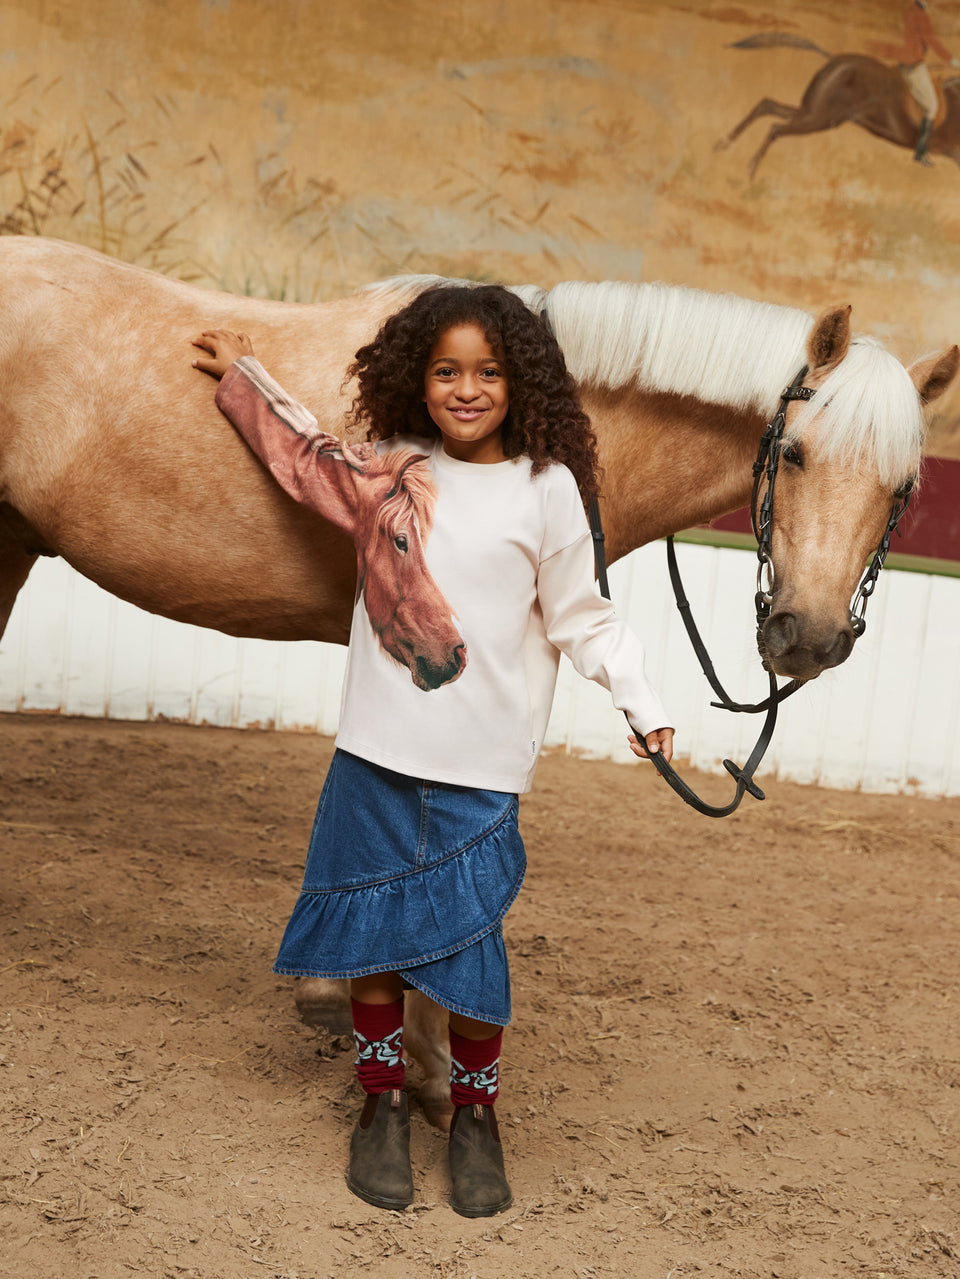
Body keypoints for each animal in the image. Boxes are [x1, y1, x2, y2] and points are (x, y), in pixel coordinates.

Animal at [715, 36, 960, 179]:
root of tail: (834, 60)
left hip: (815, 113)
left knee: (767, 106)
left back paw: (725, 143)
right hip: (819, 119)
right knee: (776, 127)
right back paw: (751, 169)